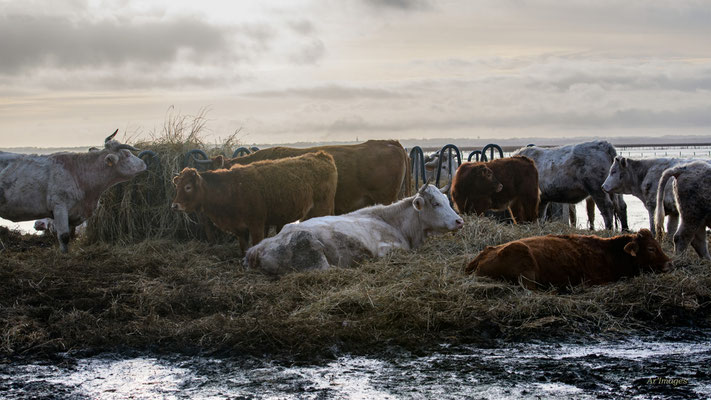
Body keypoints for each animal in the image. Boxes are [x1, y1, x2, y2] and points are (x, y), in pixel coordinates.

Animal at [0, 130, 146, 252]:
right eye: (127, 154)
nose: (144, 164)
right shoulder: (59, 207)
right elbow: (64, 236)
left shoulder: (73, 212)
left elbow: (70, 235)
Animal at [171, 151, 338, 254]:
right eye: (177, 186)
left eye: (188, 187)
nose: (174, 205)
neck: (231, 189)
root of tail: (321, 155)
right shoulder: (240, 229)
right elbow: (244, 248)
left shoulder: (257, 224)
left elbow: (257, 244)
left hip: (322, 208)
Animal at [245, 183, 465, 275]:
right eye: (435, 203)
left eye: (447, 200)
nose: (459, 221)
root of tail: (258, 248)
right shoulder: (387, 249)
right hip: (313, 252)